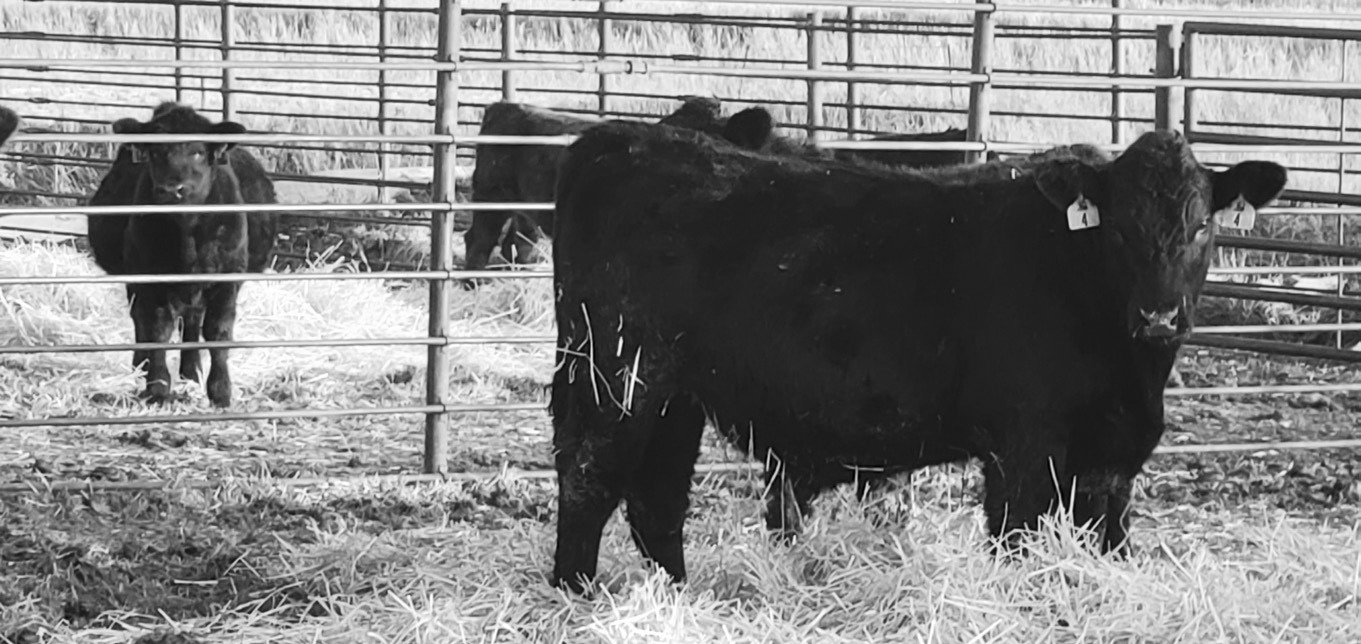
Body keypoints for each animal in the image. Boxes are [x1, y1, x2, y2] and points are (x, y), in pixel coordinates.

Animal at [86, 102, 278, 408]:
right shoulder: (149, 280)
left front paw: (220, 391)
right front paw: (157, 387)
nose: (170, 190)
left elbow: (218, 332)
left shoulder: (227, 282)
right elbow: (157, 330)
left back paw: (191, 372)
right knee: (142, 320)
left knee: (192, 322)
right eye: (153, 152)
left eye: (198, 151)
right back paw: (142, 367)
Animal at [546, 120, 1287, 592]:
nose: (1158, 315)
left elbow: (1108, 543)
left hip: (676, 395)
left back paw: (673, 595)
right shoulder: (1025, 446)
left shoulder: (1110, 461)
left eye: (1202, 224)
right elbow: (1015, 539)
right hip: (617, 376)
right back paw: (572, 594)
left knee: (657, 496)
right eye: (1123, 228)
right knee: (589, 480)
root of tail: (620, 140)